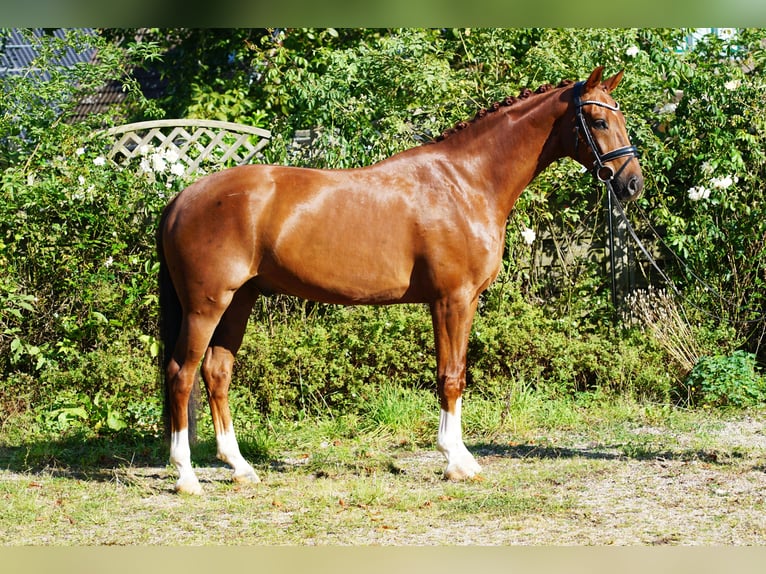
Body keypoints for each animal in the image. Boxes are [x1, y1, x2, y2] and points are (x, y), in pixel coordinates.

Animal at [160, 67, 640, 496]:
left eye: (620, 118)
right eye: (599, 121)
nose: (632, 183)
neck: (466, 181)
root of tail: (183, 197)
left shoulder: (453, 301)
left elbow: (452, 372)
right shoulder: (452, 299)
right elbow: (451, 375)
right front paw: (457, 461)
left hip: (239, 300)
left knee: (217, 372)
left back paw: (240, 467)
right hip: (207, 305)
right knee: (181, 374)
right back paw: (186, 476)